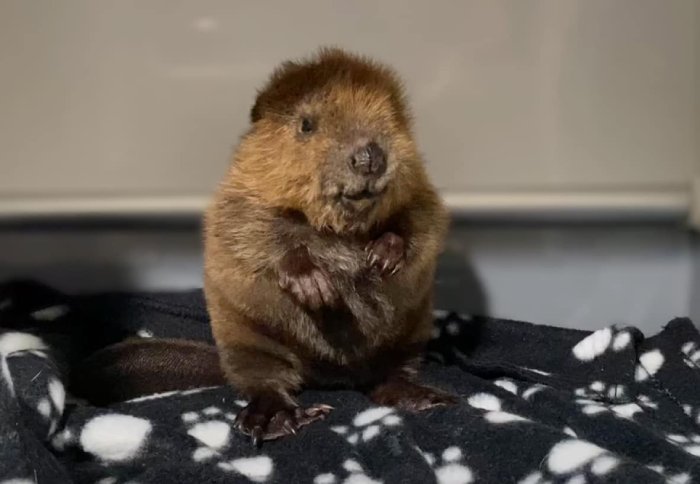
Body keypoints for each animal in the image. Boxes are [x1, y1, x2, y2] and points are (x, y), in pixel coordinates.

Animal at [202, 47, 454, 444]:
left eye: (392, 118)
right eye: (307, 124)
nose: (369, 157)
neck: (338, 227)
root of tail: (336, 377)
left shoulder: (419, 188)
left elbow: (421, 220)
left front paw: (383, 256)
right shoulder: (241, 194)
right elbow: (253, 233)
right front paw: (316, 286)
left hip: (410, 334)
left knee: (393, 374)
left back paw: (424, 398)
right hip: (246, 338)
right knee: (265, 379)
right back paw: (275, 419)